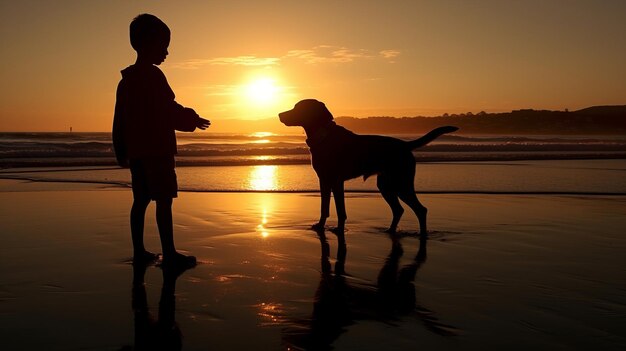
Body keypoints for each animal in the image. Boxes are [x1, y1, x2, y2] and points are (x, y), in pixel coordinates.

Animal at [280, 99, 458, 236]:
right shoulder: (324, 180)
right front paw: (320, 225)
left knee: (421, 209)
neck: (323, 135)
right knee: (398, 209)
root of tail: (404, 145)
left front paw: (339, 229)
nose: (280, 114)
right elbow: (324, 207)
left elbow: (340, 210)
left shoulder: (336, 181)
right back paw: (390, 231)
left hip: (401, 183)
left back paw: (421, 234)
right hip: (386, 184)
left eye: (298, 107)